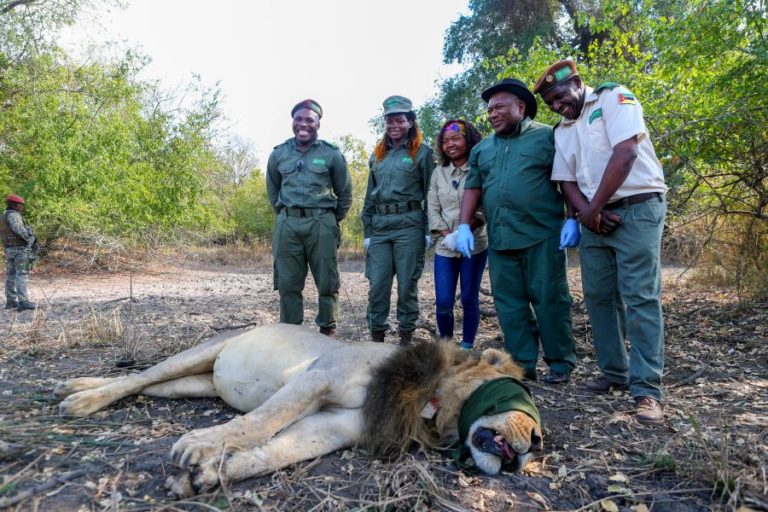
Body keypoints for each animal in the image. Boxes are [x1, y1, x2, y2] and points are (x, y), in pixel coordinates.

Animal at [52, 324, 540, 496]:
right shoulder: (319, 377)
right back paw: (79, 399)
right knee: (139, 377)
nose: (535, 442)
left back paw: (79, 385)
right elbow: (260, 421)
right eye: (518, 393)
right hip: (201, 351)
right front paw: (199, 446)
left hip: (193, 385)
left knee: (153, 385)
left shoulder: (333, 427)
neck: (426, 398)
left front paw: (203, 476)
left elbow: (273, 453)